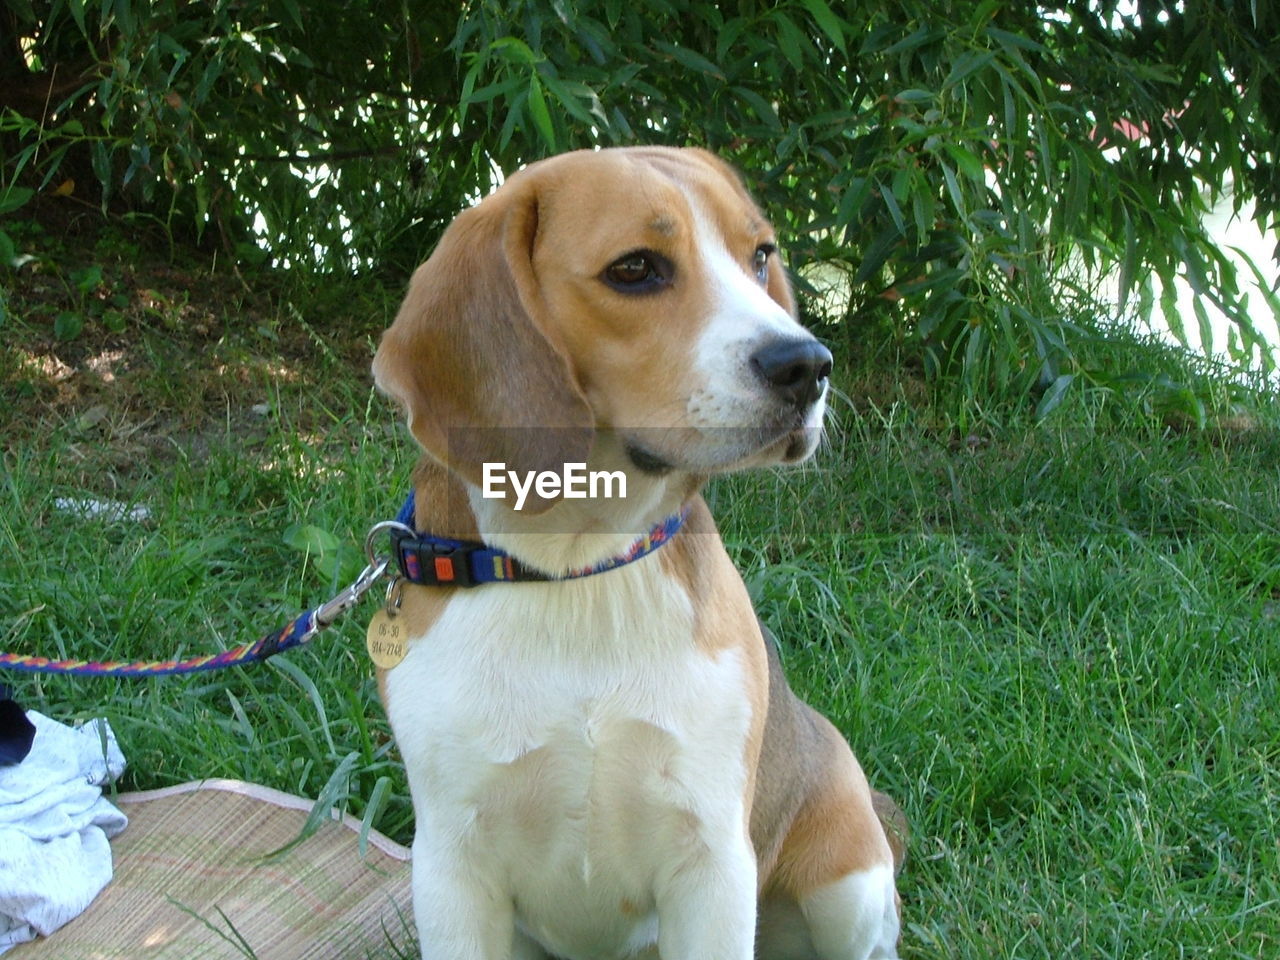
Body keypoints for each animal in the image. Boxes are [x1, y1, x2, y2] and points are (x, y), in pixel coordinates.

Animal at [371, 144, 906, 960]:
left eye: (760, 255)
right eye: (635, 269)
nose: (808, 364)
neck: (580, 570)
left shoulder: (711, 865)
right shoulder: (453, 872)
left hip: (848, 890)